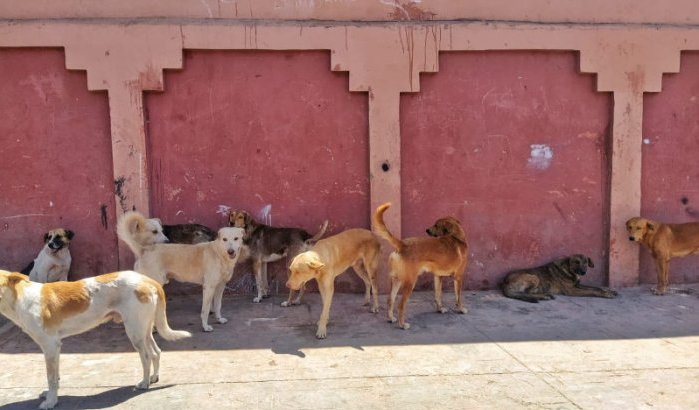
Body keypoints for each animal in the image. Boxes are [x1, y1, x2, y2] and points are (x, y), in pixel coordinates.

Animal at [0, 270, 191, 408]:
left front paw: (51, 402)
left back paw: (144, 383)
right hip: (145, 329)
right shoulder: (55, 348)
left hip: (135, 332)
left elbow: (51, 377)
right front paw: (50, 395)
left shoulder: (50, 345)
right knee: (156, 352)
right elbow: (56, 375)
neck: (19, 299)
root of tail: (148, 280)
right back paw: (153, 378)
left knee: (146, 356)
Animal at [372, 203, 470, 332]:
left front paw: (440, 309)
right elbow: (458, 297)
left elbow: (438, 295)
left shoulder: (438, 277)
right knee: (400, 305)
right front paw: (461, 309)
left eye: (436, 225)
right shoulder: (458, 277)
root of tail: (402, 245)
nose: (426, 230)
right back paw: (402, 325)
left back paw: (391, 318)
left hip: (396, 280)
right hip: (410, 282)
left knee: (390, 300)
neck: (456, 237)